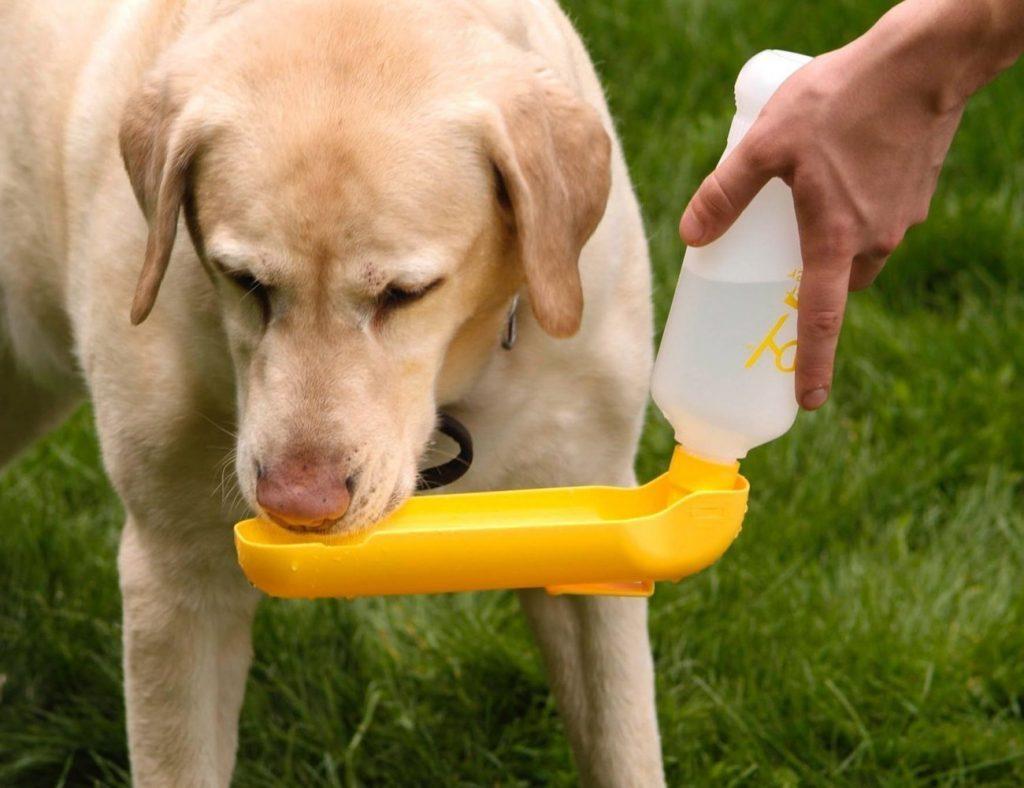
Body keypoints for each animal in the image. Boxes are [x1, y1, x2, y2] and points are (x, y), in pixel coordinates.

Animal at [0, 0, 655, 781]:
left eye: (406, 293)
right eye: (244, 280)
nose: (298, 505)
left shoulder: (593, 539)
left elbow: (624, 750)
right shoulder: (177, 576)